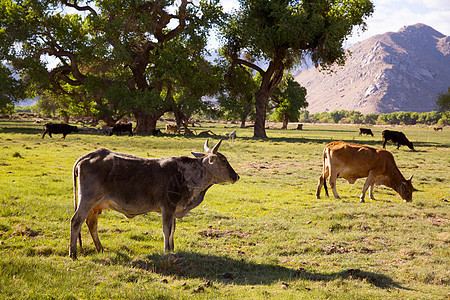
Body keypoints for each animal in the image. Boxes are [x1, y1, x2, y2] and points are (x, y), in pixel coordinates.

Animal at [69, 139, 239, 258]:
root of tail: (89, 155)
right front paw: (166, 250)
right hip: (87, 201)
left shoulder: (173, 210)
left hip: (95, 206)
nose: (236, 176)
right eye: (224, 161)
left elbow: (172, 230)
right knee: (76, 221)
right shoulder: (168, 208)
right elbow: (167, 230)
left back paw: (100, 249)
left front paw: (172, 249)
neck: (188, 175)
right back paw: (73, 253)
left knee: (91, 223)